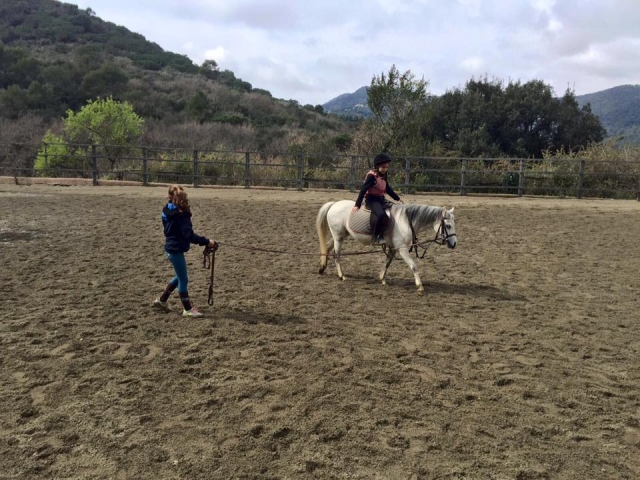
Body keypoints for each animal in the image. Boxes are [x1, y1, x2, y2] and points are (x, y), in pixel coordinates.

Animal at [316, 201, 457, 294]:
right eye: (448, 226)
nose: (454, 244)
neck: (406, 221)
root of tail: (334, 204)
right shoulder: (402, 249)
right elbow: (413, 266)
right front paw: (420, 286)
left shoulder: (392, 248)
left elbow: (387, 263)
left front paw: (382, 279)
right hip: (338, 237)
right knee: (336, 256)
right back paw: (341, 276)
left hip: (341, 235)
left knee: (327, 247)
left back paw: (322, 267)